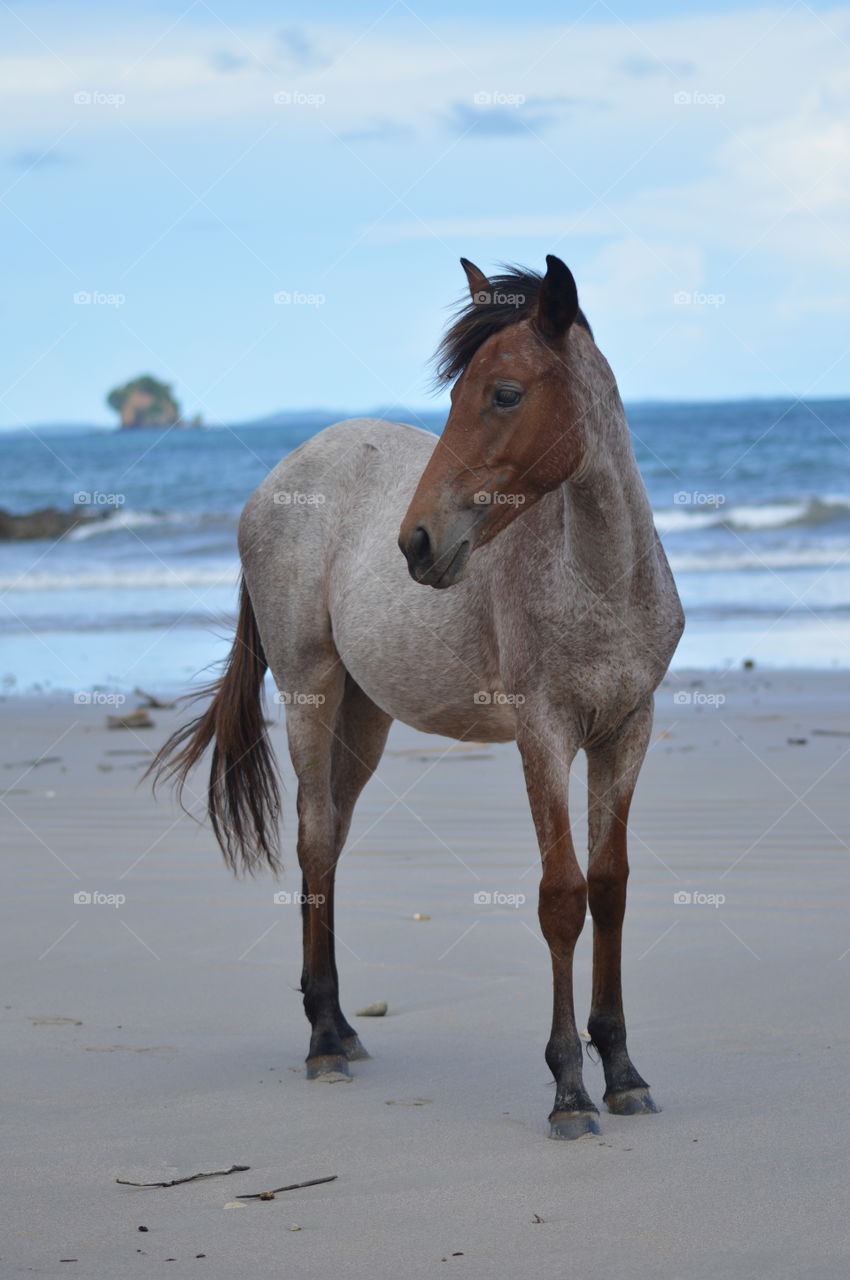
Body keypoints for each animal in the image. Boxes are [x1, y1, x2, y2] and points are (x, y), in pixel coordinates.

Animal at [152, 254, 684, 1139]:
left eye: (504, 393)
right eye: (457, 393)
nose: (418, 542)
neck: (599, 580)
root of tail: (279, 480)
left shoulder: (625, 731)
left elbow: (609, 889)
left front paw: (624, 1072)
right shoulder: (543, 735)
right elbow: (562, 898)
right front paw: (569, 1091)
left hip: (364, 717)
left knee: (331, 841)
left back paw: (338, 1028)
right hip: (310, 688)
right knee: (314, 839)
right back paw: (321, 1044)